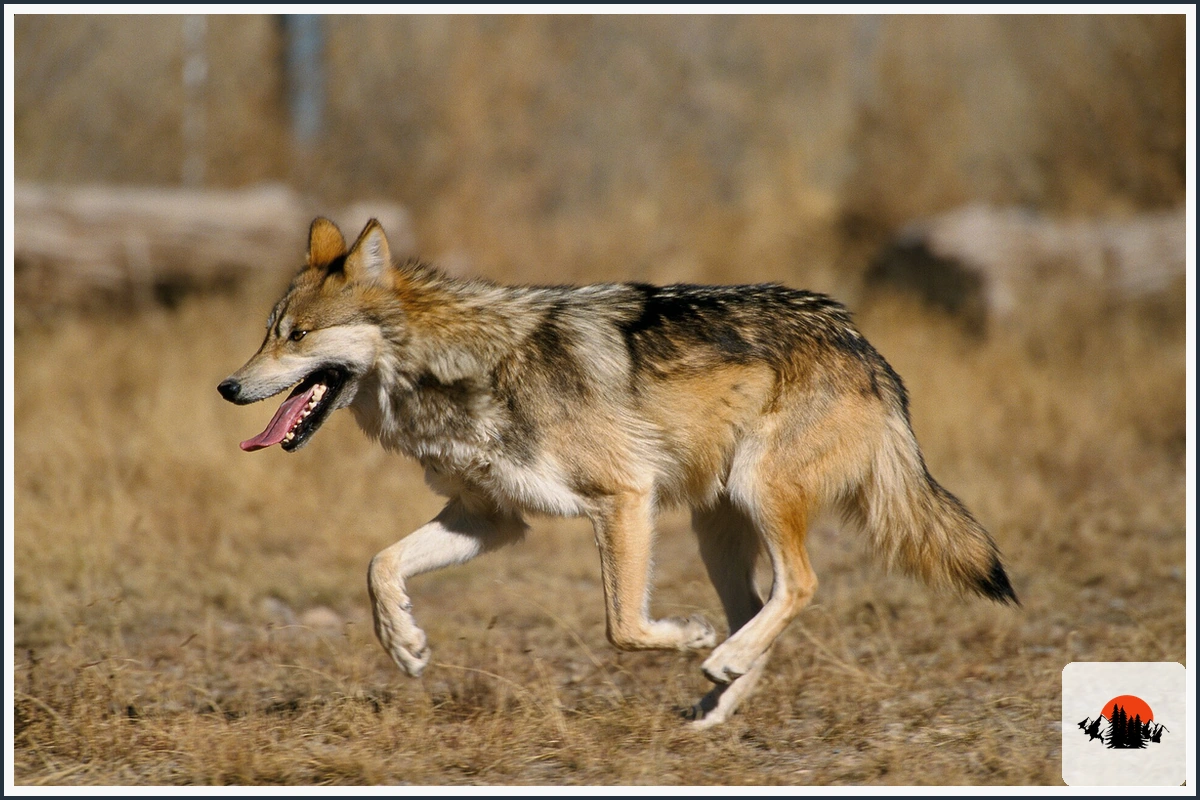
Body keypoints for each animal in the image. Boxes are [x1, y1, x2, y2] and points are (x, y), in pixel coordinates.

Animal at [218, 218, 1017, 728]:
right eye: (266, 333)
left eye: (297, 336)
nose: (227, 387)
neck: (459, 367)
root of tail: (862, 343)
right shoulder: (491, 519)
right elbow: (380, 565)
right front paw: (405, 645)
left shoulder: (623, 498)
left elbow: (623, 627)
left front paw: (686, 637)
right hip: (716, 529)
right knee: (760, 606)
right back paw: (716, 701)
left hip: (755, 495)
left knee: (800, 586)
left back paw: (717, 659)